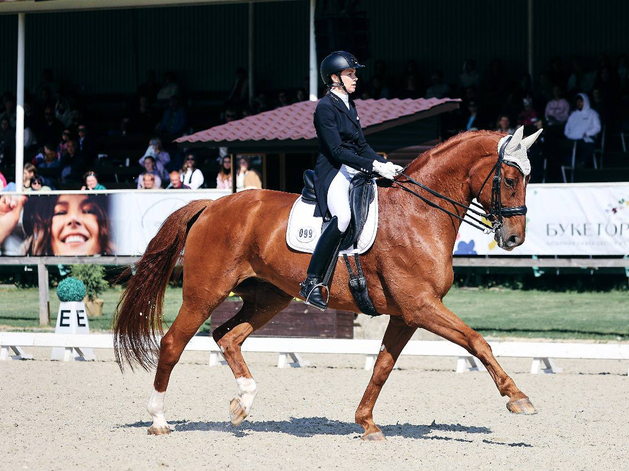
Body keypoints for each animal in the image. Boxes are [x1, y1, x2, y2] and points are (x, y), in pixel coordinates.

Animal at [111, 126, 540, 442]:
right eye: (510, 178)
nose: (514, 238)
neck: (419, 213)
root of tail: (211, 204)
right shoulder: (421, 305)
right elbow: (476, 341)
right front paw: (518, 398)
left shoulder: (407, 314)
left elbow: (382, 366)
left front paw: (367, 423)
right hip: (205, 293)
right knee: (172, 344)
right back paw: (159, 420)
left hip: (269, 298)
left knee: (227, 337)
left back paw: (243, 404)